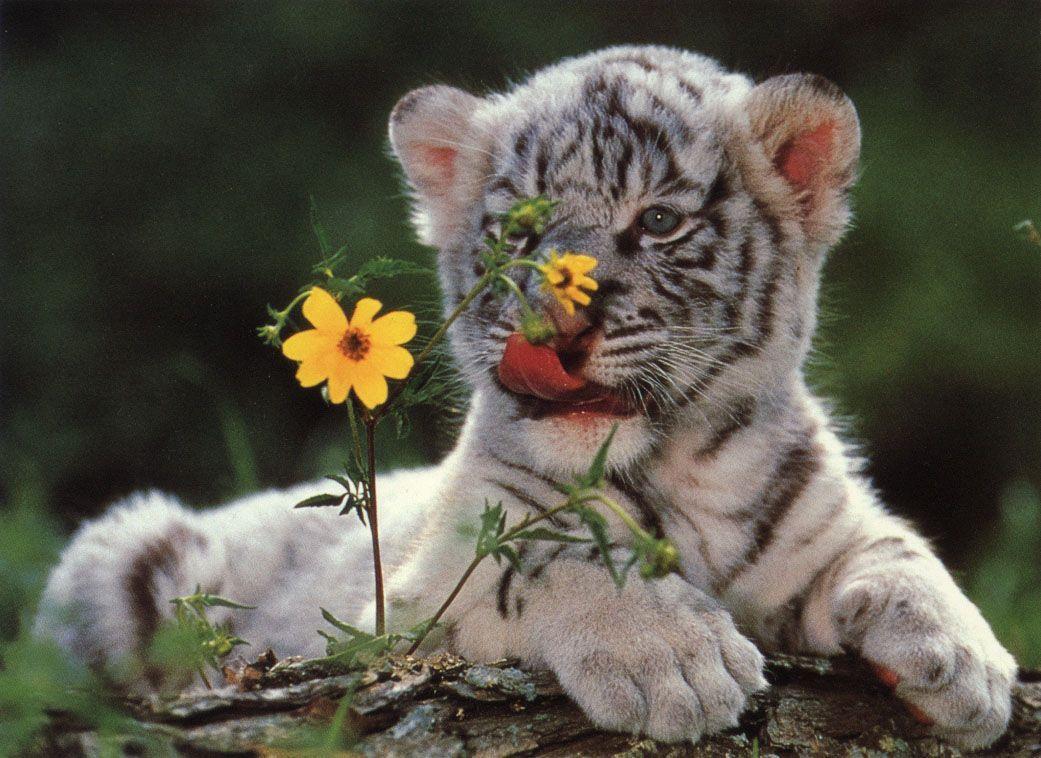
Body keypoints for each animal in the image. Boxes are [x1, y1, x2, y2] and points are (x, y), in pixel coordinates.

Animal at [35, 45, 1016, 749]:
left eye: (658, 222)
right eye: (518, 233)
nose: (555, 333)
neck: (683, 474)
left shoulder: (821, 525)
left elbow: (896, 549)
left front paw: (965, 662)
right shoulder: (419, 596)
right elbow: (550, 560)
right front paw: (677, 662)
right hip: (121, 551)